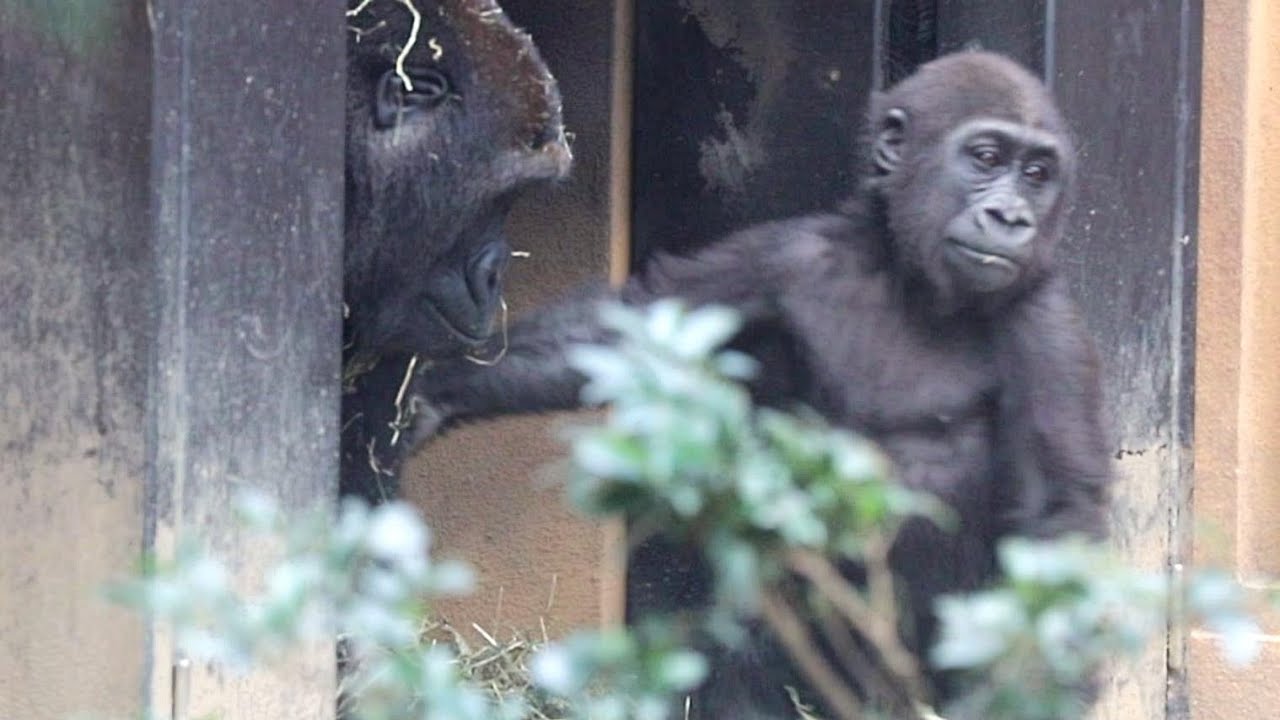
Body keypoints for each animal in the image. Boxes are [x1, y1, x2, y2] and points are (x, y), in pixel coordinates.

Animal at [407, 50, 1111, 712]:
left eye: (1038, 174)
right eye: (986, 157)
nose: (1013, 217)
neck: (907, 276)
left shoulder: (1046, 323)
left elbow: (1057, 515)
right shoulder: (786, 257)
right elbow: (639, 330)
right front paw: (437, 391)